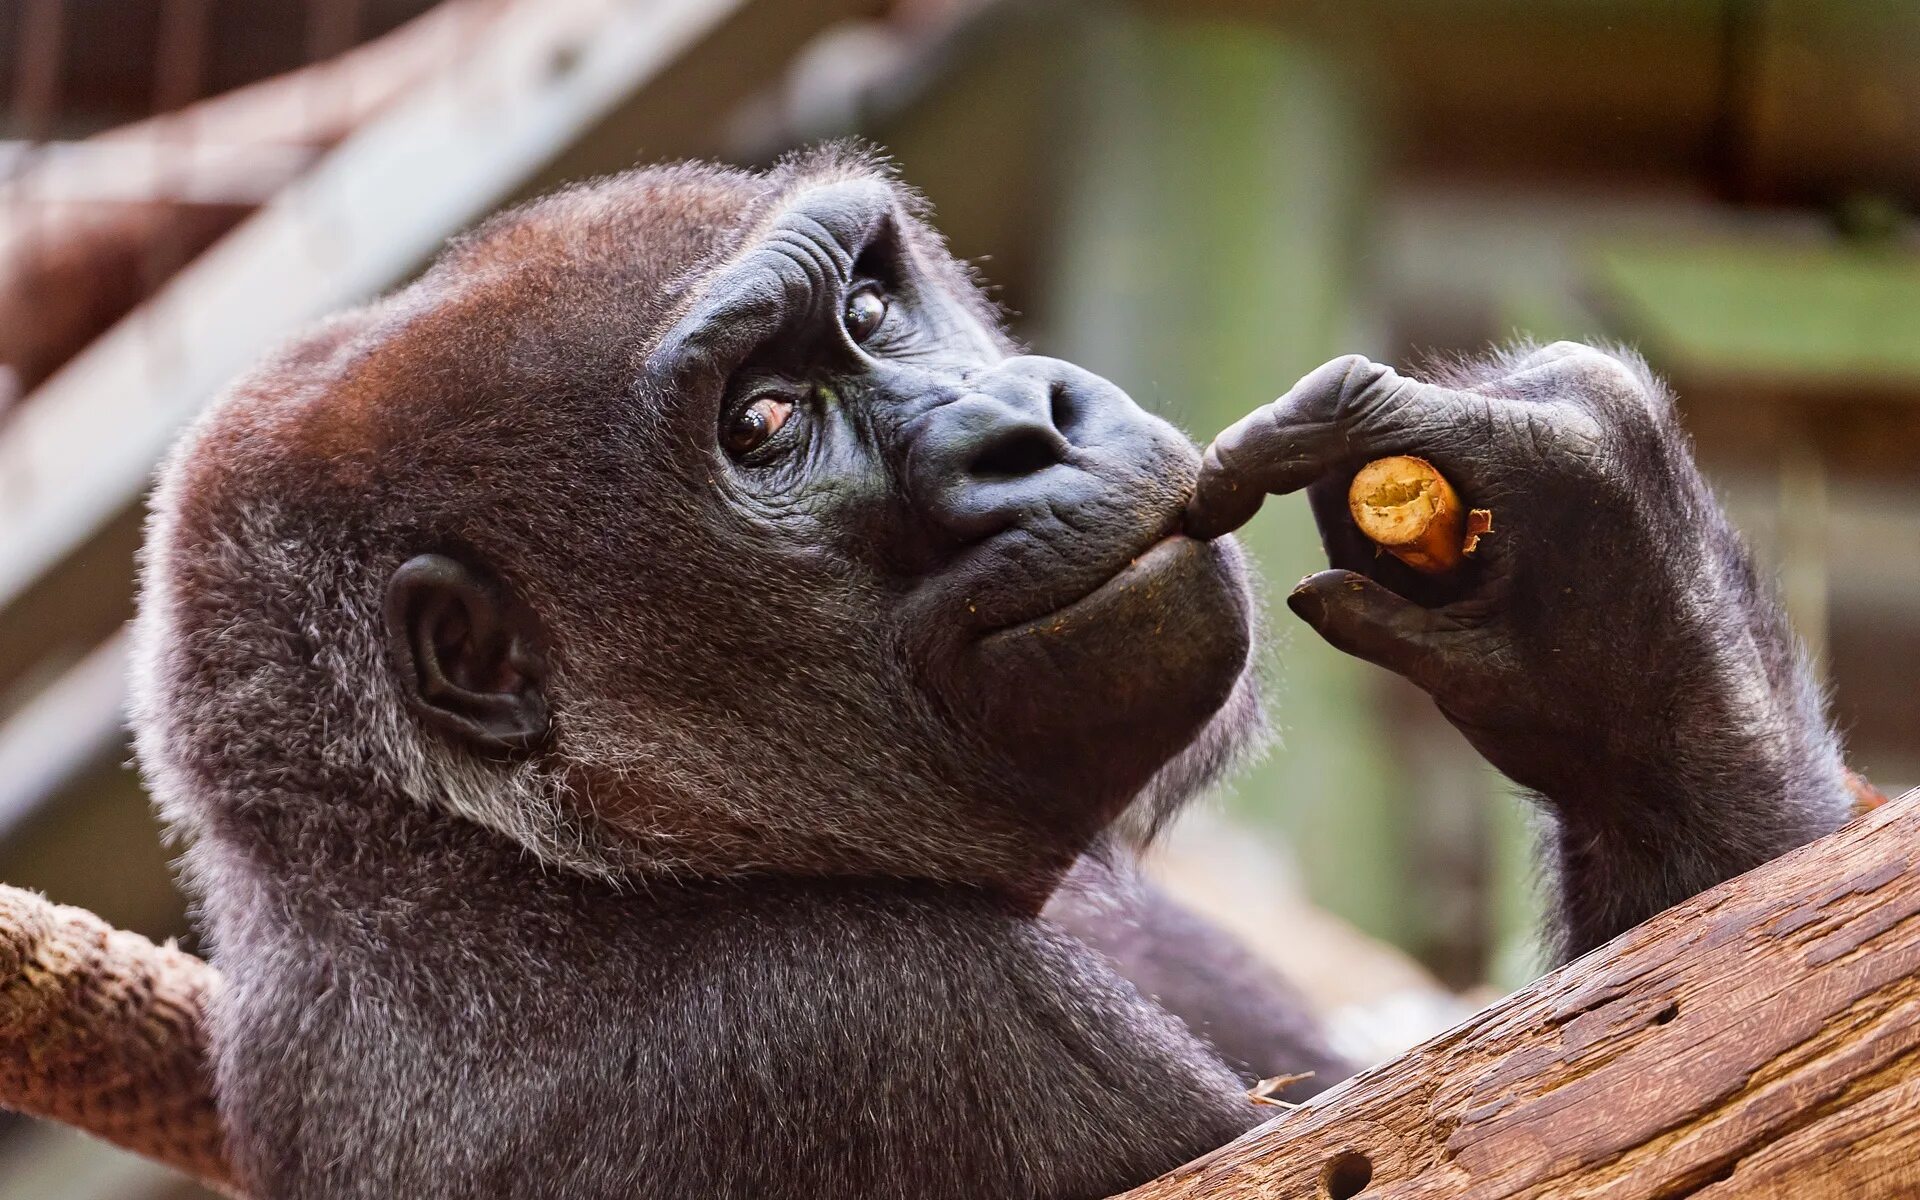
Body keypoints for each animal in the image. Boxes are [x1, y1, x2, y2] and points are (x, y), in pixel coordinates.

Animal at [127, 149, 1850, 1198]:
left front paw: (1587, 614)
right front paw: (1627, 605)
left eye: (872, 304)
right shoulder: (859, 1036)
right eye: (764, 422)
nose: (1031, 419)